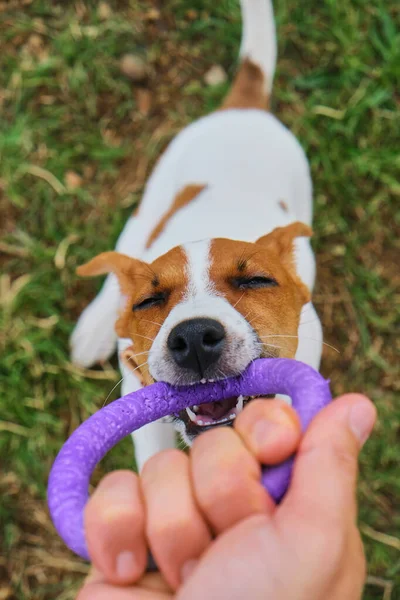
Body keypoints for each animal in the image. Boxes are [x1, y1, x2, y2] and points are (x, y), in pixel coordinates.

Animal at [70, 0, 324, 468]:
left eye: (256, 280)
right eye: (149, 301)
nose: (192, 339)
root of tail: (244, 108)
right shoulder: (139, 392)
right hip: (148, 208)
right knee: (121, 261)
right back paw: (94, 329)